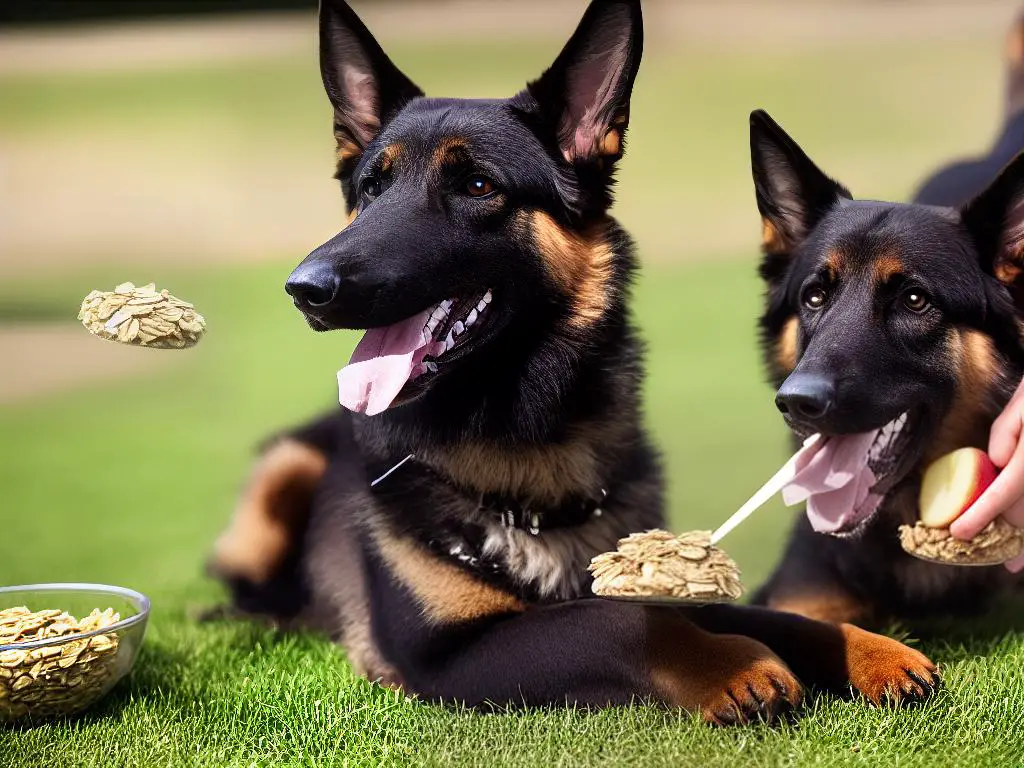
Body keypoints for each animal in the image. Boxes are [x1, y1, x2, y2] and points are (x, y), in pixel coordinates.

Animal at [211, 0, 937, 724]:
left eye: (476, 184)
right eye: (371, 187)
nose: (305, 289)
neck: (525, 433)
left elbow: (762, 615)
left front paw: (867, 649)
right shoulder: (447, 655)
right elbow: (623, 622)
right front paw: (737, 664)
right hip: (283, 469)